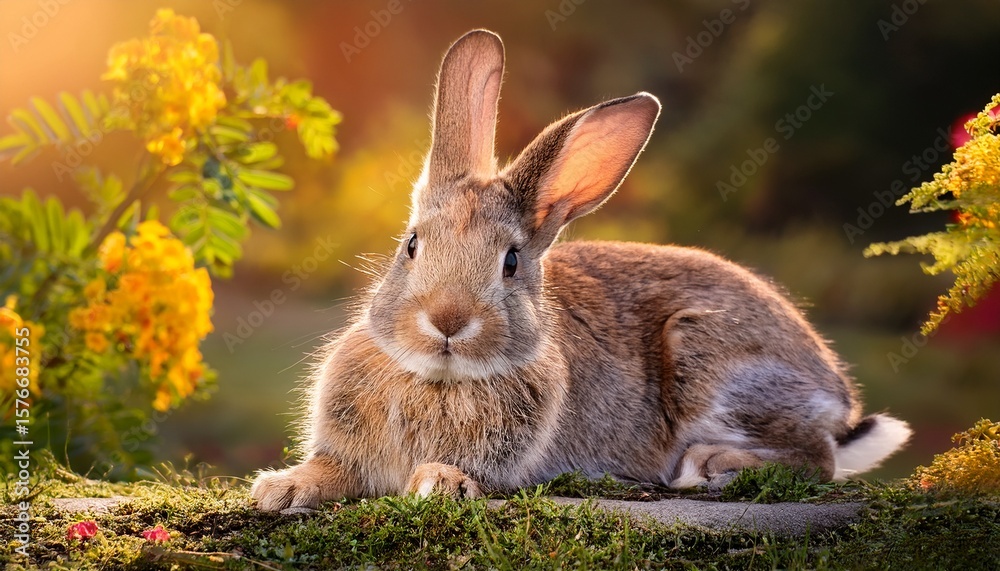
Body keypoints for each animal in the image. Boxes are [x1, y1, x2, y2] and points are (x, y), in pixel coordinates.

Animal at [251, 29, 911, 512]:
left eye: (511, 261)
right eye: (411, 245)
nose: (447, 320)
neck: (437, 378)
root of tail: (835, 393)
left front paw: (439, 482)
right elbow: (329, 470)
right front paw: (281, 487)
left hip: (710, 357)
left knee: (818, 458)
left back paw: (707, 466)